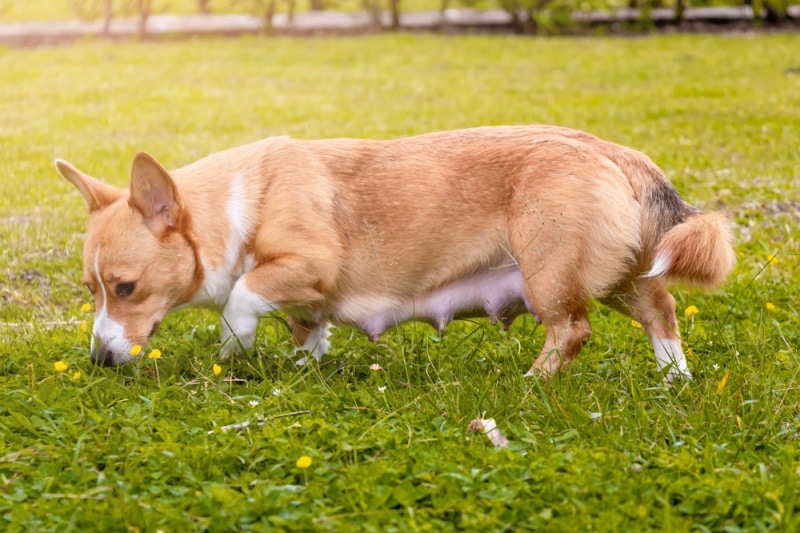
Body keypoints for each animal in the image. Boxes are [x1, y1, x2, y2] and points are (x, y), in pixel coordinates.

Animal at [56, 125, 736, 380]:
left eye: (126, 288)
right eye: (92, 291)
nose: (99, 361)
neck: (229, 207)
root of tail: (612, 148)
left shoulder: (305, 263)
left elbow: (244, 297)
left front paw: (234, 342)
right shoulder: (307, 301)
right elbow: (307, 331)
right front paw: (301, 368)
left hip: (551, 273)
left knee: (572, 330)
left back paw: (532, 383)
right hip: (624, 273)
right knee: (661, 311)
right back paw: (675, 378)